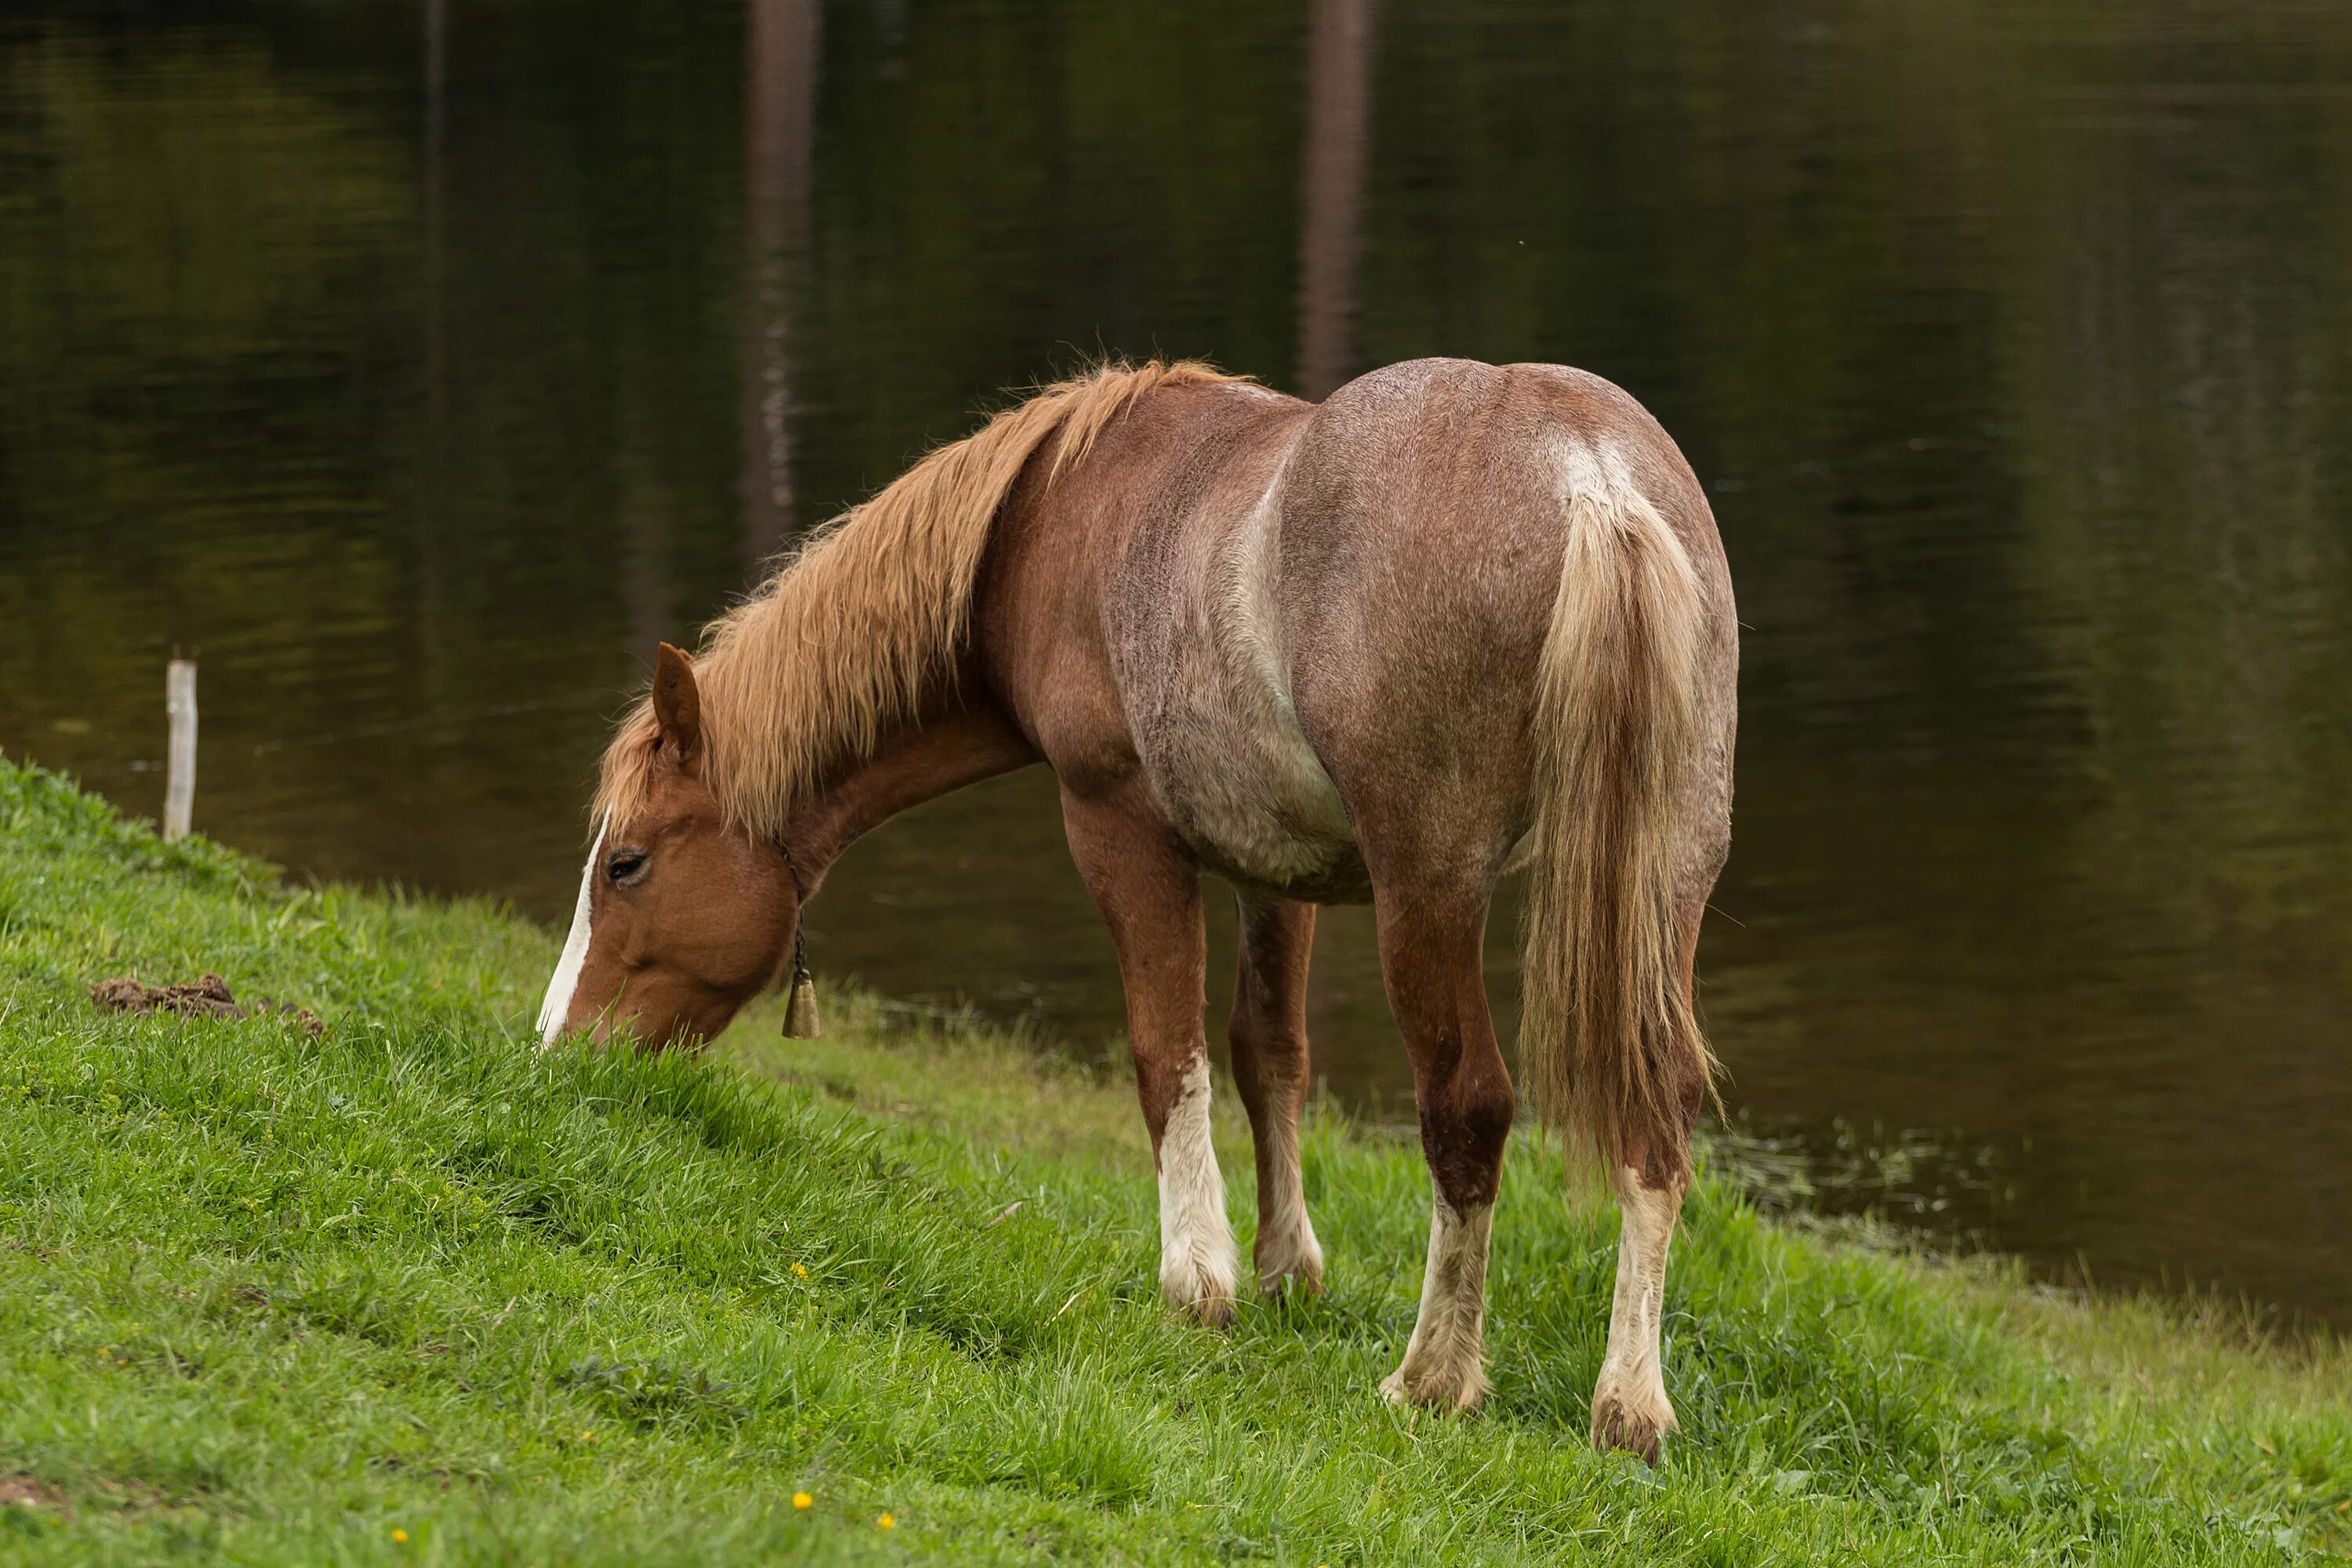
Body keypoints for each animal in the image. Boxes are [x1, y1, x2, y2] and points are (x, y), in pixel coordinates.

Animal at [541, 354, 1740, 1457]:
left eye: (626, 864)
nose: (557, 1049)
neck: (1041, 525)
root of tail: (1589, 477)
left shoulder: (1117, 829)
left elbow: (1167, 1054)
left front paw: (1195, 1277)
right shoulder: (1277, 869)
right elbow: (1268, 1055)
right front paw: (1285, 1269)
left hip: (1430, 891)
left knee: (1467, 1108)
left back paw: (1433, 1377)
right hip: (1663, 881)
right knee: (1658, 1112)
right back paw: (1631, 1406)